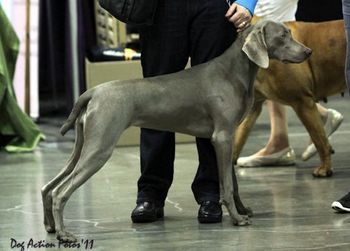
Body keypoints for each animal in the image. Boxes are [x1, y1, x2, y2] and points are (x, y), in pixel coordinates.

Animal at [41, 20, 312, 242]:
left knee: (49, 186)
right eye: (283, 35)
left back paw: (51, 227)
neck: (233, 72)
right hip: (100, 147)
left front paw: (243, 210)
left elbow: (233, 182)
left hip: (84, 145)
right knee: (61, 191)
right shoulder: (222, 137)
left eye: (289, 33)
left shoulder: (227, 138)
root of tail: (93, 92)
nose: (308, 52)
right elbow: (226, 183)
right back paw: (65, 234)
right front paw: (237, 218)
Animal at [234, 19, 346, 176]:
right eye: (282, 36)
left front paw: (325, 169)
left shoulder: (303, 102)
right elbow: (238, 139)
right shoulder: (252, 109)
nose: (308, 51)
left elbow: (319, 140)